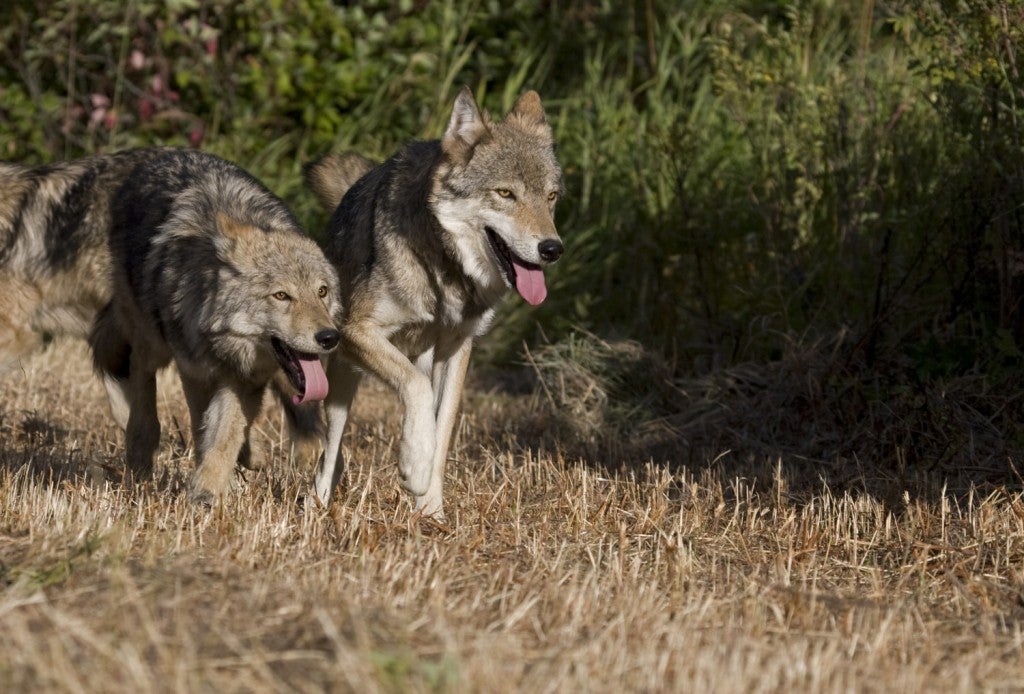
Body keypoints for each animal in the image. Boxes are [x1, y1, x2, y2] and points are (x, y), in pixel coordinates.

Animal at [83, 149, 342, 503]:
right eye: (281, 295)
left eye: (322, 292)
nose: (329, 337)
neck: (221, 343)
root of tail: (163, 152)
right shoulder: (195, 373)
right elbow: (204, 428)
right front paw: (207, 490)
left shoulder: (245, 379)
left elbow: (226, 433)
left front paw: (211, 485)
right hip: (149, 343)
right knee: (143, 397)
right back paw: (139, 463)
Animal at [303, 87, 569, 519]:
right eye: (505, 194)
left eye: (550, 198)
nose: (552, 249)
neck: (445, 273)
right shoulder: (357, 331)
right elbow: (415, 391)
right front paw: (414, 465)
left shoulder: (457, 350)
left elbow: (441, 429)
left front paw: (432, 510)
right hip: (341, 381)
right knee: (330, 455)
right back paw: (317, 509)